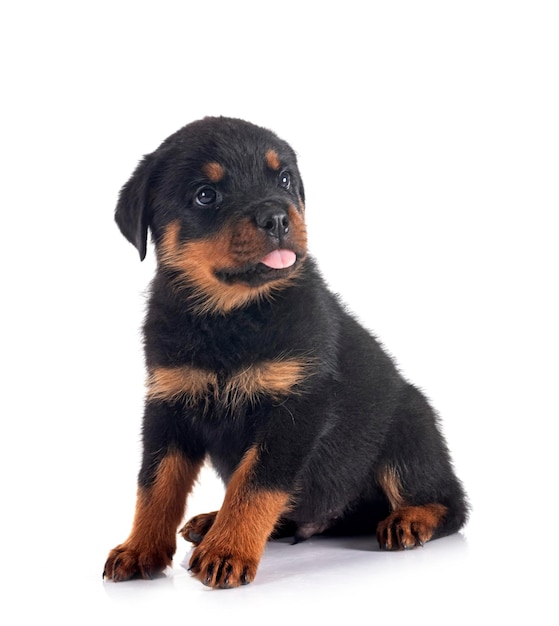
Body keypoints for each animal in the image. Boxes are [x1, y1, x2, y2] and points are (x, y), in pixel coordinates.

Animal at [104, 116, 468, 584]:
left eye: (283, 179)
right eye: (205, 194)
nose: (278, 217)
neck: (230, 317)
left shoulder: (297, 407)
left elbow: (255, 485)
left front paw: (227, 550)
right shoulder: (169, 401)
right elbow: (155, 484)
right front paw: (139, 548)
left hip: (410, 425)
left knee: (450, 501)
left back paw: (410, 519)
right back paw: (211, 520)